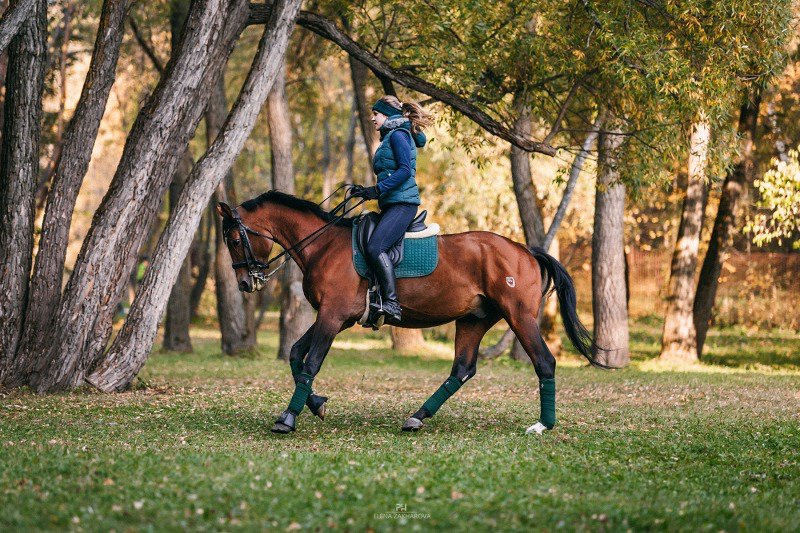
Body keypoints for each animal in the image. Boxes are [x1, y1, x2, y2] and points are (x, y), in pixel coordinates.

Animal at [216, 189, 604, 434]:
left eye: (234, 240)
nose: (246, 283)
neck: (323, 245)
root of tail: (525, 251)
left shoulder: (332, 315)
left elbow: (310, 362)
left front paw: (288, 418)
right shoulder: (335, 318)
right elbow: (297, 354)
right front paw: (317, 403)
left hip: (519, 317)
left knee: (544, 363)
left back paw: (543, 425)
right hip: (474, 320)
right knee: (462, 369)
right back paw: (417, 417)